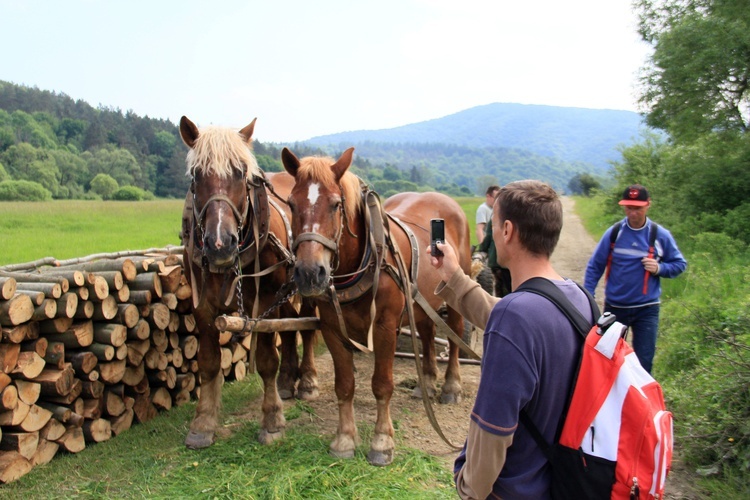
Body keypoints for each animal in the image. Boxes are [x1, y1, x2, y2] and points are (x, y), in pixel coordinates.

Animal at [181, 117, 318, 450]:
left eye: (240, 173)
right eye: (196, 174)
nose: (219, 243)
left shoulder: (264, 301)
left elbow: (267, 359)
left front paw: (272, 421)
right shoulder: (202, 306)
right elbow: (208, 362)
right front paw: (203, 423)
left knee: (307, 327)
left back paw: (307, 381)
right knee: (290, 326)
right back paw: (287, 381)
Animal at [280, 146, 470, 466]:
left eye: (335, 205)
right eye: (291, 204)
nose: (308, 273)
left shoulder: (384, 326)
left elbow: (382, 384)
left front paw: (382, 442)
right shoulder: (332, 328)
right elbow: (344, 385)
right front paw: (344, 439)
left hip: (456, 287)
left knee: (454, 334)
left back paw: (451, 386)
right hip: (421, 301)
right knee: (427, 333)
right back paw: (426, 382)